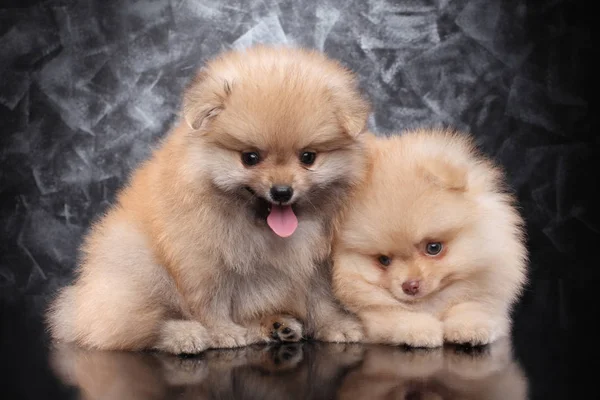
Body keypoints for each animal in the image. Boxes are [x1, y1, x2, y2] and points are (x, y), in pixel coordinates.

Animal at [47, 45, 368, 354]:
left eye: (308, 158)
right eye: (250, 158)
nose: (281, 191)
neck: (259, 226)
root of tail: (77, 305)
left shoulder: (317, 263)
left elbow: (321, 298)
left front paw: (335, 325)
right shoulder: (202, 260)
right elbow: (210, 302)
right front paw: (221, 332)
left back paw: (276, 326)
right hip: (136, 263)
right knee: (136, 328)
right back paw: (184, 335)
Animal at [330, 130, 528, 346]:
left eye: (433, 247)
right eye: (384, 260)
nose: (410, 286)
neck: (431, 303)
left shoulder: (487, 295)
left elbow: (473, 306)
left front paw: (470, 328)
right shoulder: (373, 313)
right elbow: (397, 315)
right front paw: (421, 331)